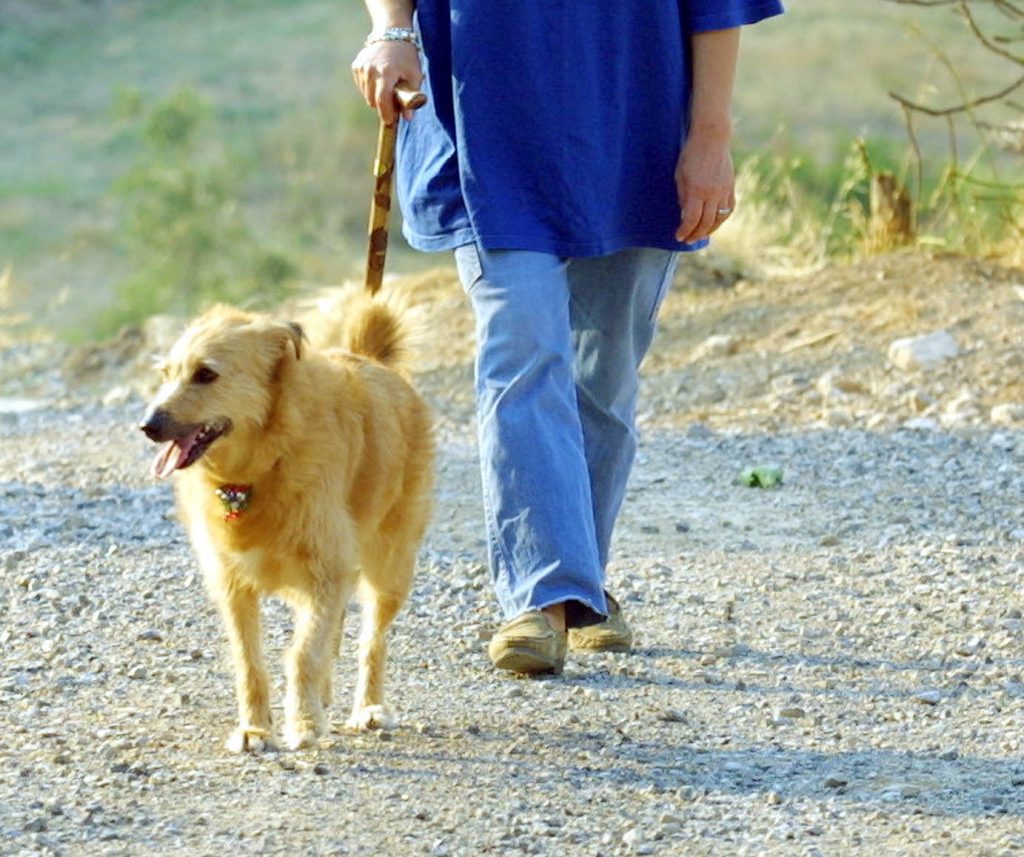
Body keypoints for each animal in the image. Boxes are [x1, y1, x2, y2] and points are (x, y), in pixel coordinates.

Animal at [139, 296, 432, 749]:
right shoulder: (232, 584)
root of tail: (371, 357)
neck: (259, 469)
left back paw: (368, 709)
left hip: (390, 568)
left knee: (372, 640)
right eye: (166, 375)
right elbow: (249, 661)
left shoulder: (326, 572)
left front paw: (305, 724)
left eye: (206, 373)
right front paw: (255, 728)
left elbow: (302, 654)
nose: (148, 425)